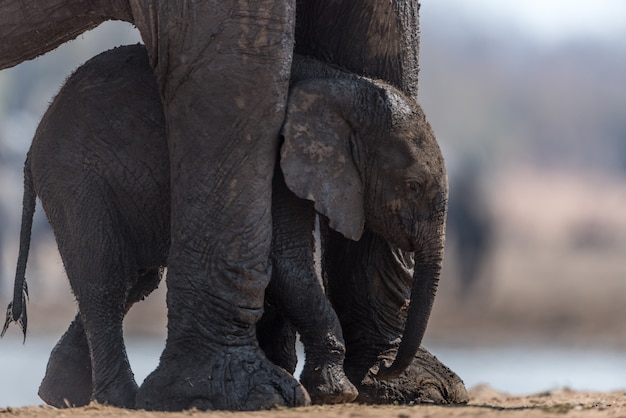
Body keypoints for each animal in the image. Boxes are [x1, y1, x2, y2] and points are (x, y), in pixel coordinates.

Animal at [0, 0, 464, 412]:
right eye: (413, 186)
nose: (386, 370)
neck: (336, 84)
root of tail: (31, 149)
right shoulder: (279, 166)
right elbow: (288, 264)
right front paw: (330, 392)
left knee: (136, 277)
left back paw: (64, 394)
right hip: (75, 176)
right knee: (106, 281)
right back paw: (118, 399)